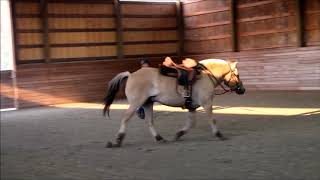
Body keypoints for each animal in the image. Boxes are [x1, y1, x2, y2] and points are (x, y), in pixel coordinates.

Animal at [102, 58, 245, 148]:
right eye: (237, 75)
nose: (242, 90)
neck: (206, 75)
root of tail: (130, 75)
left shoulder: (192, 107)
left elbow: (190, 123)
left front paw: (178, 134)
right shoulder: (207, 103)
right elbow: (212, 120)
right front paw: (219, 134)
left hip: (148, 103)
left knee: (149, 122)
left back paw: (159, 138)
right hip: (136, 103)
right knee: (125, 119)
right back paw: (118, 140)